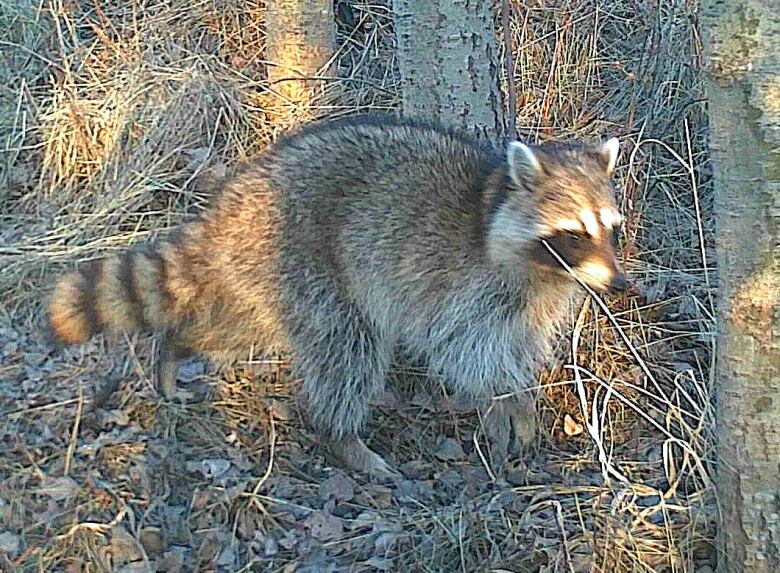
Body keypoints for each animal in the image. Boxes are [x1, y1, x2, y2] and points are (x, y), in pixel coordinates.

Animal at [48, 114, 628, 476]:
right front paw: (507, 401)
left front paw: (518, 404)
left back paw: (176, 346)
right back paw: (344, 437)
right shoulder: (465, 287)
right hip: (307, 263)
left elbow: (516, 346)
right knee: (346, 349)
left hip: (265, 279)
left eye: (612, 230)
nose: (620, 284)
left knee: (239, 325)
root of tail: (229, 206)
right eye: (575, 233)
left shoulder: (533, 300)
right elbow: (468, 353)